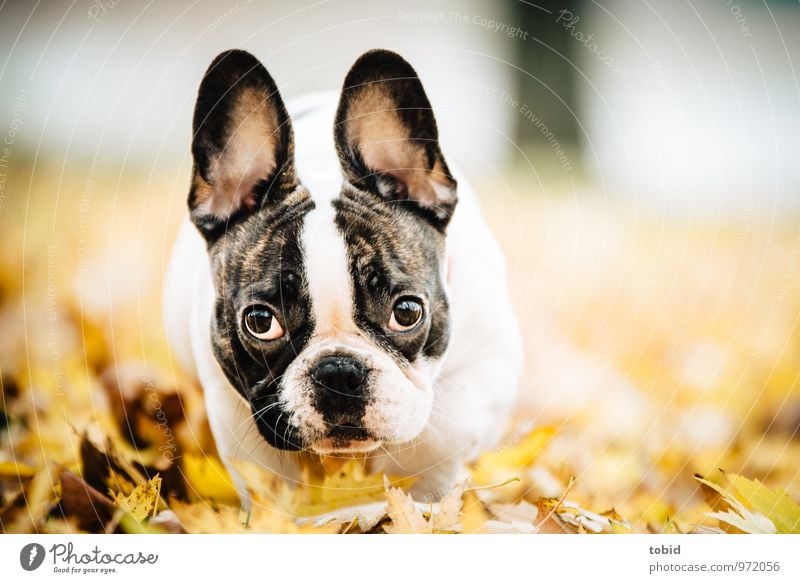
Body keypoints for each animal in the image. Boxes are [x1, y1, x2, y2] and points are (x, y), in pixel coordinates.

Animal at [163, 49, 524, 502]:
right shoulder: (235, 404)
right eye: (261, 321)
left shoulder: (490, 361)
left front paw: (412, 495)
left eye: (407, 312)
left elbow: (438, 434)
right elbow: (269, 481)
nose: (338, 372)